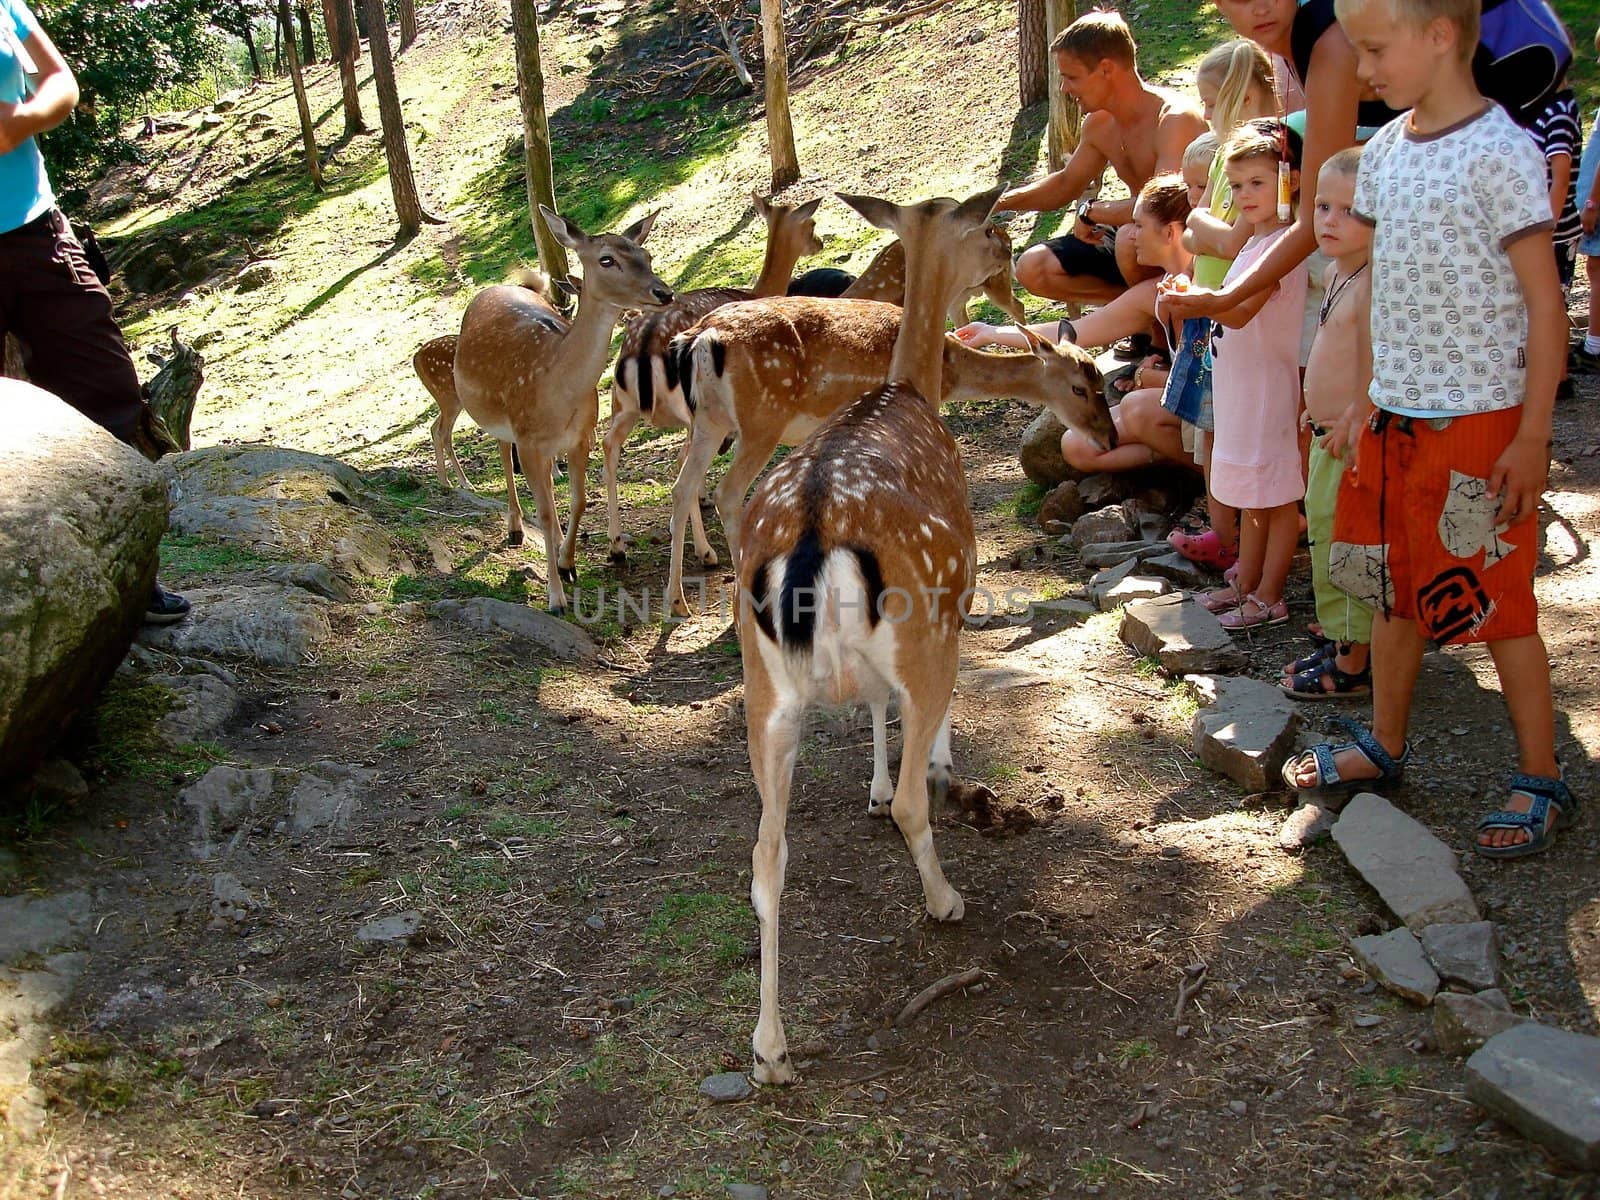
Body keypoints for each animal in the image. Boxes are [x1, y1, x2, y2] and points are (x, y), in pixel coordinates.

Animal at [438, 208, 668, 614]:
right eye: (607, 259)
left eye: (647, 254)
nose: (663, 292)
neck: (553, 388)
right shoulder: (527, 438)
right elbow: (543, 512)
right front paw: (556, 598)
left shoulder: (581, 437)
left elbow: (579, 500)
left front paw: (567, 563)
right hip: (497, 418)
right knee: (504, 456)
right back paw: (514, 527)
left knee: (541, 475)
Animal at [601, 195, 825, 569]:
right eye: (811, 224)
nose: (819, 243)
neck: (757, 291)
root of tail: (642, 346)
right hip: (689, 406)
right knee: (680, 463)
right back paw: (705, 551)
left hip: (622, 404)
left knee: (609, 444)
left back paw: (617, 545)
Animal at [732, 190, 1024, 1088]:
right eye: (988, 230)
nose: (1011, 261)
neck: (910, 388)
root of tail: (813, 537)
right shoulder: (956, 601)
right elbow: (913, 730)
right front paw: (927, 766)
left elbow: (869, 708)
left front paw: (867, 779)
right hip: (922, 626)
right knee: (910, 803)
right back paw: (946, 900)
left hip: (764, 692)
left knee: (765, 855)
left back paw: (771, 1050)